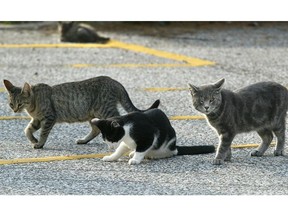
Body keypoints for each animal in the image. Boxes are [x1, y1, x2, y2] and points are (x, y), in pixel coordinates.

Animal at [2, 77, 160, 149]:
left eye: (20, 103)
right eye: (11, 104)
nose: (15, 110)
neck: (34, 104)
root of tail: (114, 81)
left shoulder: (49, 118)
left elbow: (43, 133)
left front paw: (39, 143)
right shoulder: (37, 120)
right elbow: (27, 130)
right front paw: (33, 140)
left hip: (105, 109)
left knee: (117, 121)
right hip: (93, 114)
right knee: (96, 129)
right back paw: (84, 140)